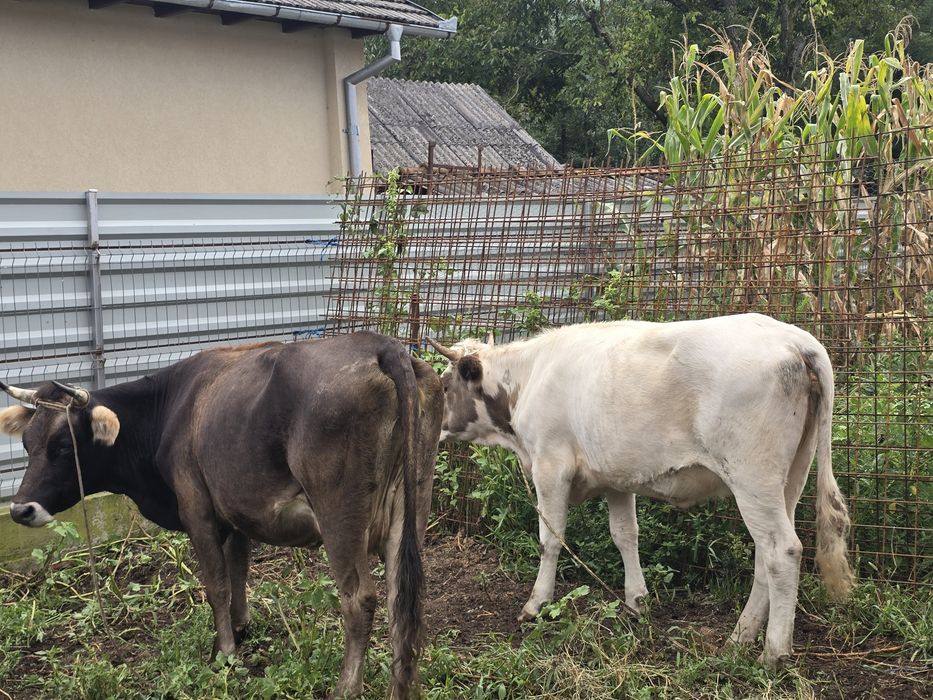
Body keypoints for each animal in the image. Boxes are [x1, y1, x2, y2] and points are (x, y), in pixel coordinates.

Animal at [0, 332, 443, 699]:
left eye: (62, 446)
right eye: (26, 443)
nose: (20, 509)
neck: (170, 409)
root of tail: (380, 345)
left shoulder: (196, 509)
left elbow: (216, 584)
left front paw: (225, 654)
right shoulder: (236, 511)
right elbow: (238, 571)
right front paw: (240, 628)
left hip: (339, 514)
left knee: (360, 599)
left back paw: (345, 689)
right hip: (412, 504)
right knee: (402, 596)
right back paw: (405, 687)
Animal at [429, 313, 855, 669]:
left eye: (445, 384)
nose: (435, 429)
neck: (528, 378)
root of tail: (796, 339)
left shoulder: (550, 466)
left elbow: (551, 539)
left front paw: (536, 604)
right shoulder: (617, 475)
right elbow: (625, 535)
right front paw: (637, 601)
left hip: (753, 475)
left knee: (782, 550)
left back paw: (773, 652)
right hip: (791, 477)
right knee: (764, 557)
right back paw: (740, 636)